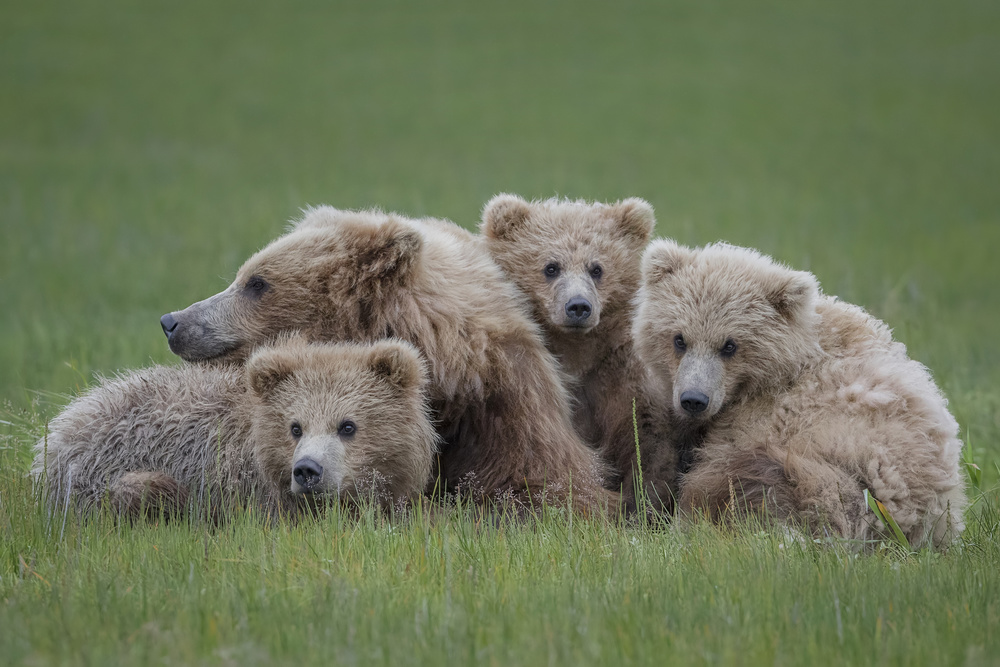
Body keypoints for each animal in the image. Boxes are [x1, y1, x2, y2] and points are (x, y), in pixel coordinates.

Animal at [481, 194, 671, 511]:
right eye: (551, 267)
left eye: (597, 268)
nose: (578, 306)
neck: (576, 353)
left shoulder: (617, 374)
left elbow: (643, 437)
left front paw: (643, 503)